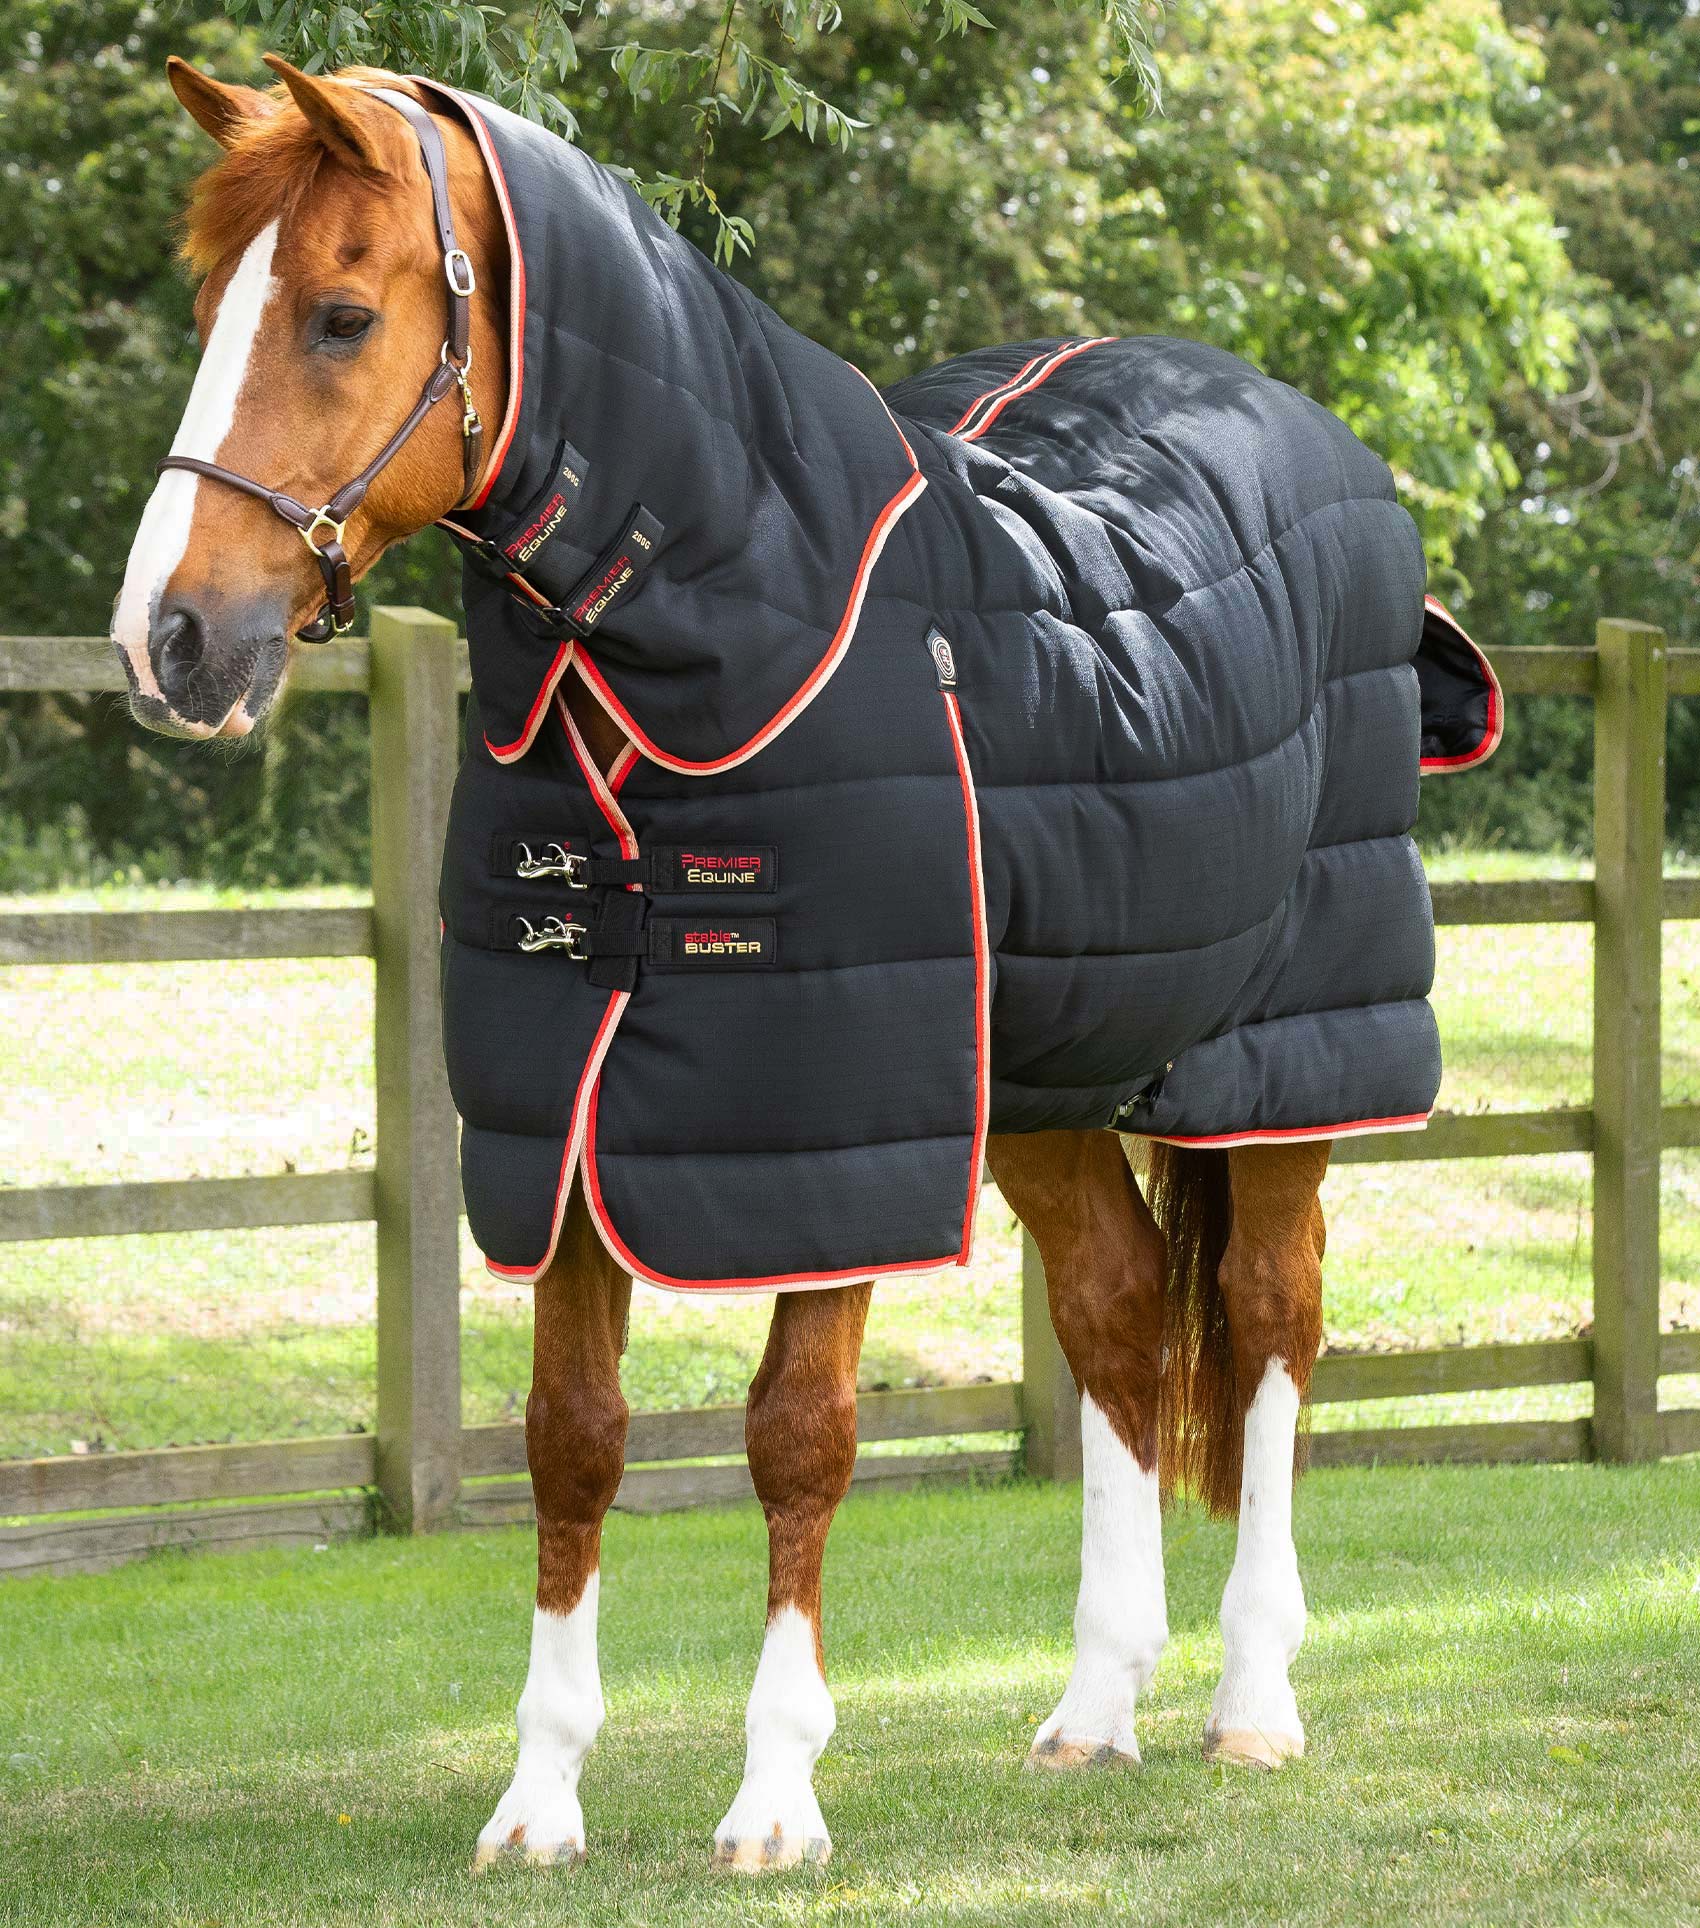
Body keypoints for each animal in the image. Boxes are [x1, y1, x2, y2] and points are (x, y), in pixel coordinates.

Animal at [112, 56, 1455, 1873]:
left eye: (337, 315)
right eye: (209, 307)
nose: (166, 641)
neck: (722, 626)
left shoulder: (832, 1136)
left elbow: (800, 1435)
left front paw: (773, 1798)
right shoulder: (577, 1128)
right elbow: (572, 1439)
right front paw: (537, 1800)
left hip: (1287, 1063)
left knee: (1266, 1321)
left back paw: (1252, 1704)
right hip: (1038, 1076)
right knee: (1115, 1315)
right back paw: (1096, 1710)